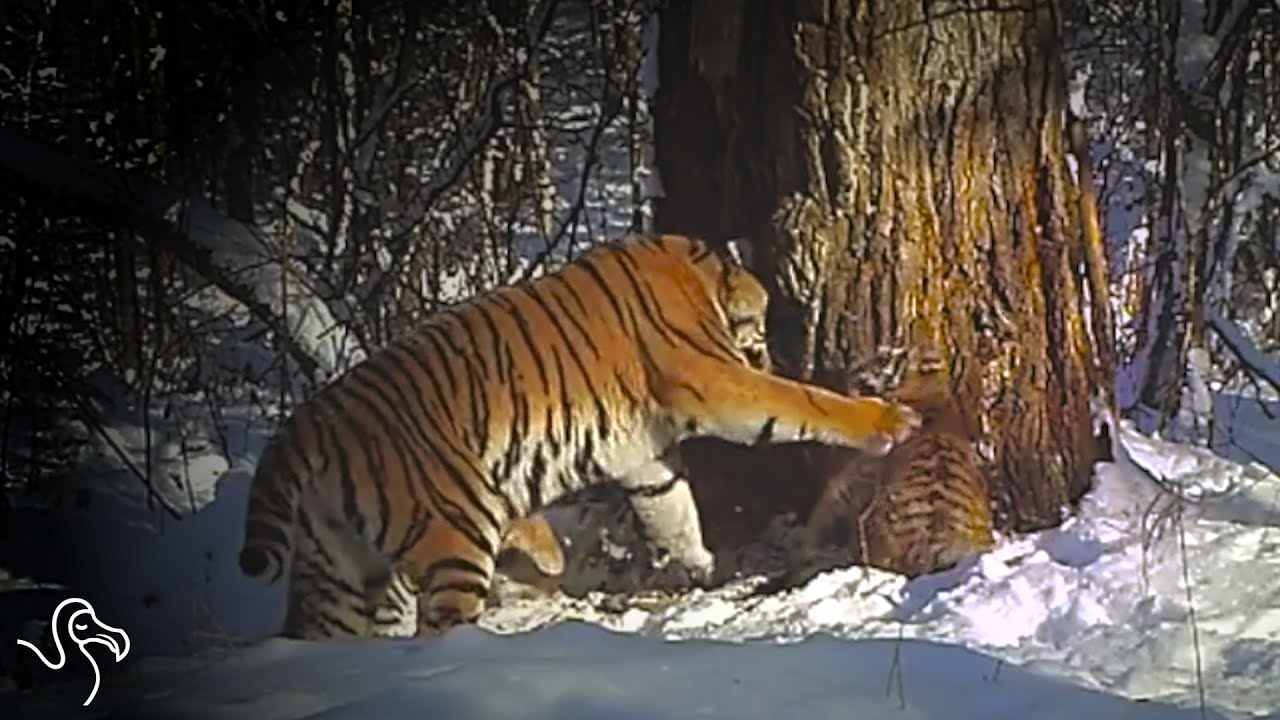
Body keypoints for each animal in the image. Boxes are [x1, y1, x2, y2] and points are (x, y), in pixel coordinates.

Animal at [238, 232, 922, 638]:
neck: (693, 271)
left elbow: (672, 506)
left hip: (340, 576)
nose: (773, 352)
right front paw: (885, 421)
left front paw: (699, 566)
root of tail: (298, 431)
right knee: (442, 625)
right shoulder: (717, 380)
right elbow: (803, 401)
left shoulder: (642, 452)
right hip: (453, 531)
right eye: (764, 322)